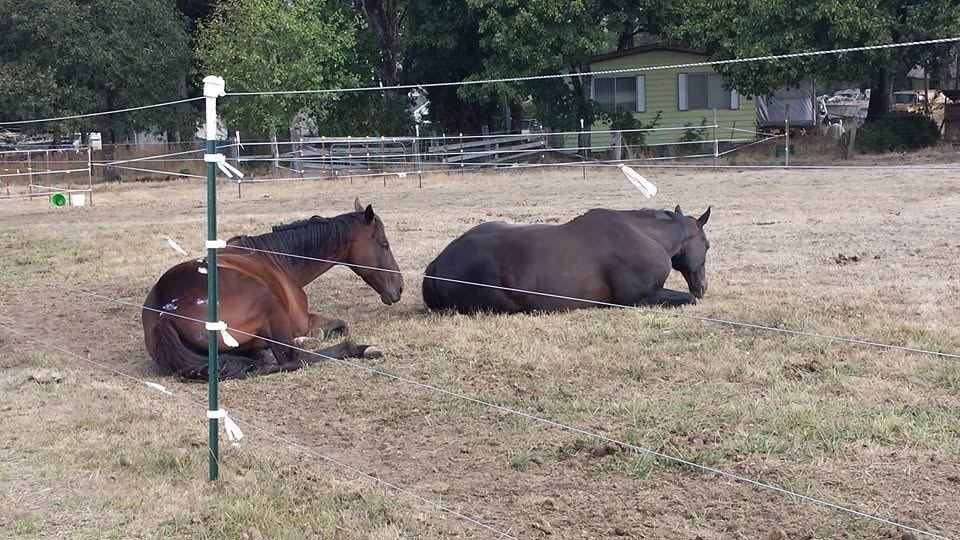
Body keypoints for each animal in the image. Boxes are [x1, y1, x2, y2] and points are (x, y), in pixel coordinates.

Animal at [142, 198, 404, 380]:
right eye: (385, 245)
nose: (400, 287)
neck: (277, 258)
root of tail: (163, 313)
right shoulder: (302, 319)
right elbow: (340, 325)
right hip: (270, 304)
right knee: (292, 360)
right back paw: (361, 348)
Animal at [422, 205, 711, 313]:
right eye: (707, 246)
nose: (703, 286)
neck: (644, 234)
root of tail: (438, 263)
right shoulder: (637, 298)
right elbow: (688, 299)